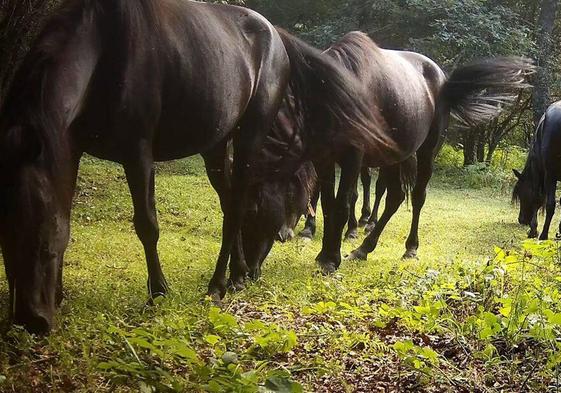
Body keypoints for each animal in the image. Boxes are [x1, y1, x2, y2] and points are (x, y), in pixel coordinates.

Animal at [0, 0, 388, 334]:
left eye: (44, 239)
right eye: (5, 240)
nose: (31, 320)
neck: (104, 44)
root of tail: (277, 37)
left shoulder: (137, 152)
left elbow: (147, 225)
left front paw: (158, 291)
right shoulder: (71, 148)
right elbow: (65, 205)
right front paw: (60, 294)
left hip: (248, 138)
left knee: (237, 204)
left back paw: (219, 284)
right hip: (216, 146)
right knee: (231, 202)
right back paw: (239, 273)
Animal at [512, 100, 560, 239]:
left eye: (520, 193)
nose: (521, 219)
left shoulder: (544, 174)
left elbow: (538, 198)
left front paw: (534, 230)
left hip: (551, 175)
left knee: (550, 204)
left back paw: (543, 234)